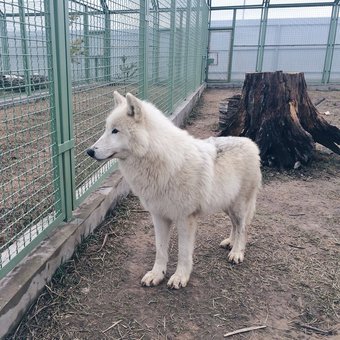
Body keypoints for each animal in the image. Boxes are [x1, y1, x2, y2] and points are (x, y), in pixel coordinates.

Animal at [86, 91, 262, 290]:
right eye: (107, 129)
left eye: (115, 131)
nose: (89, 151)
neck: (160, 162)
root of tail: (250, 142)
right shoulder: (159, 217)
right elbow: (160, 250)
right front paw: (157, 275)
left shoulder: (185, 219)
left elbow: (183, 252)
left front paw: (180, 277)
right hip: (227, 205)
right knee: (235, 225)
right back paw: (230, 243)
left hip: (239, 207)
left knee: (243, 228)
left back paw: (237, 252)